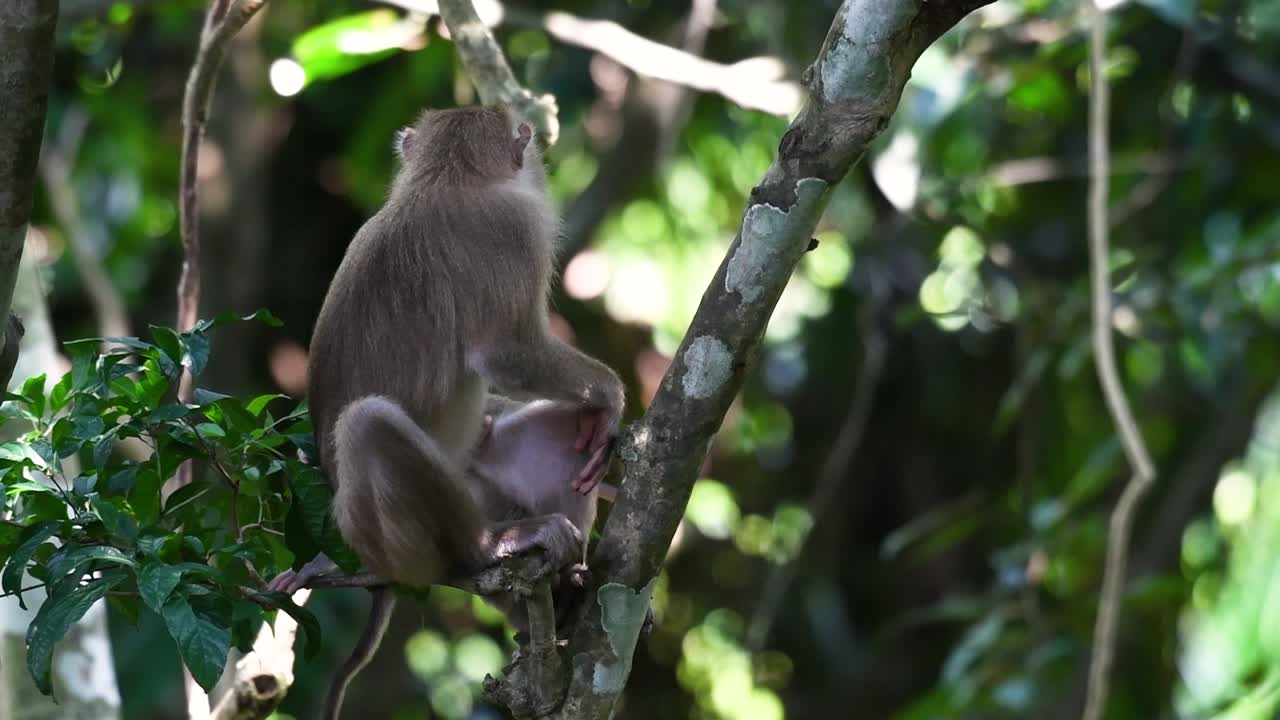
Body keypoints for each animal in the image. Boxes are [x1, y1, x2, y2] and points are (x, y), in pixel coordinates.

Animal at [291, 105, 626, 719]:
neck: (444, 178)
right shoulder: (516, 228)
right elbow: (507, 352)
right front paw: (611, 397)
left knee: (561, 436)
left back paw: (558, 600)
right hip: (404, 541)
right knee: (367, 423)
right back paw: (490, 548)